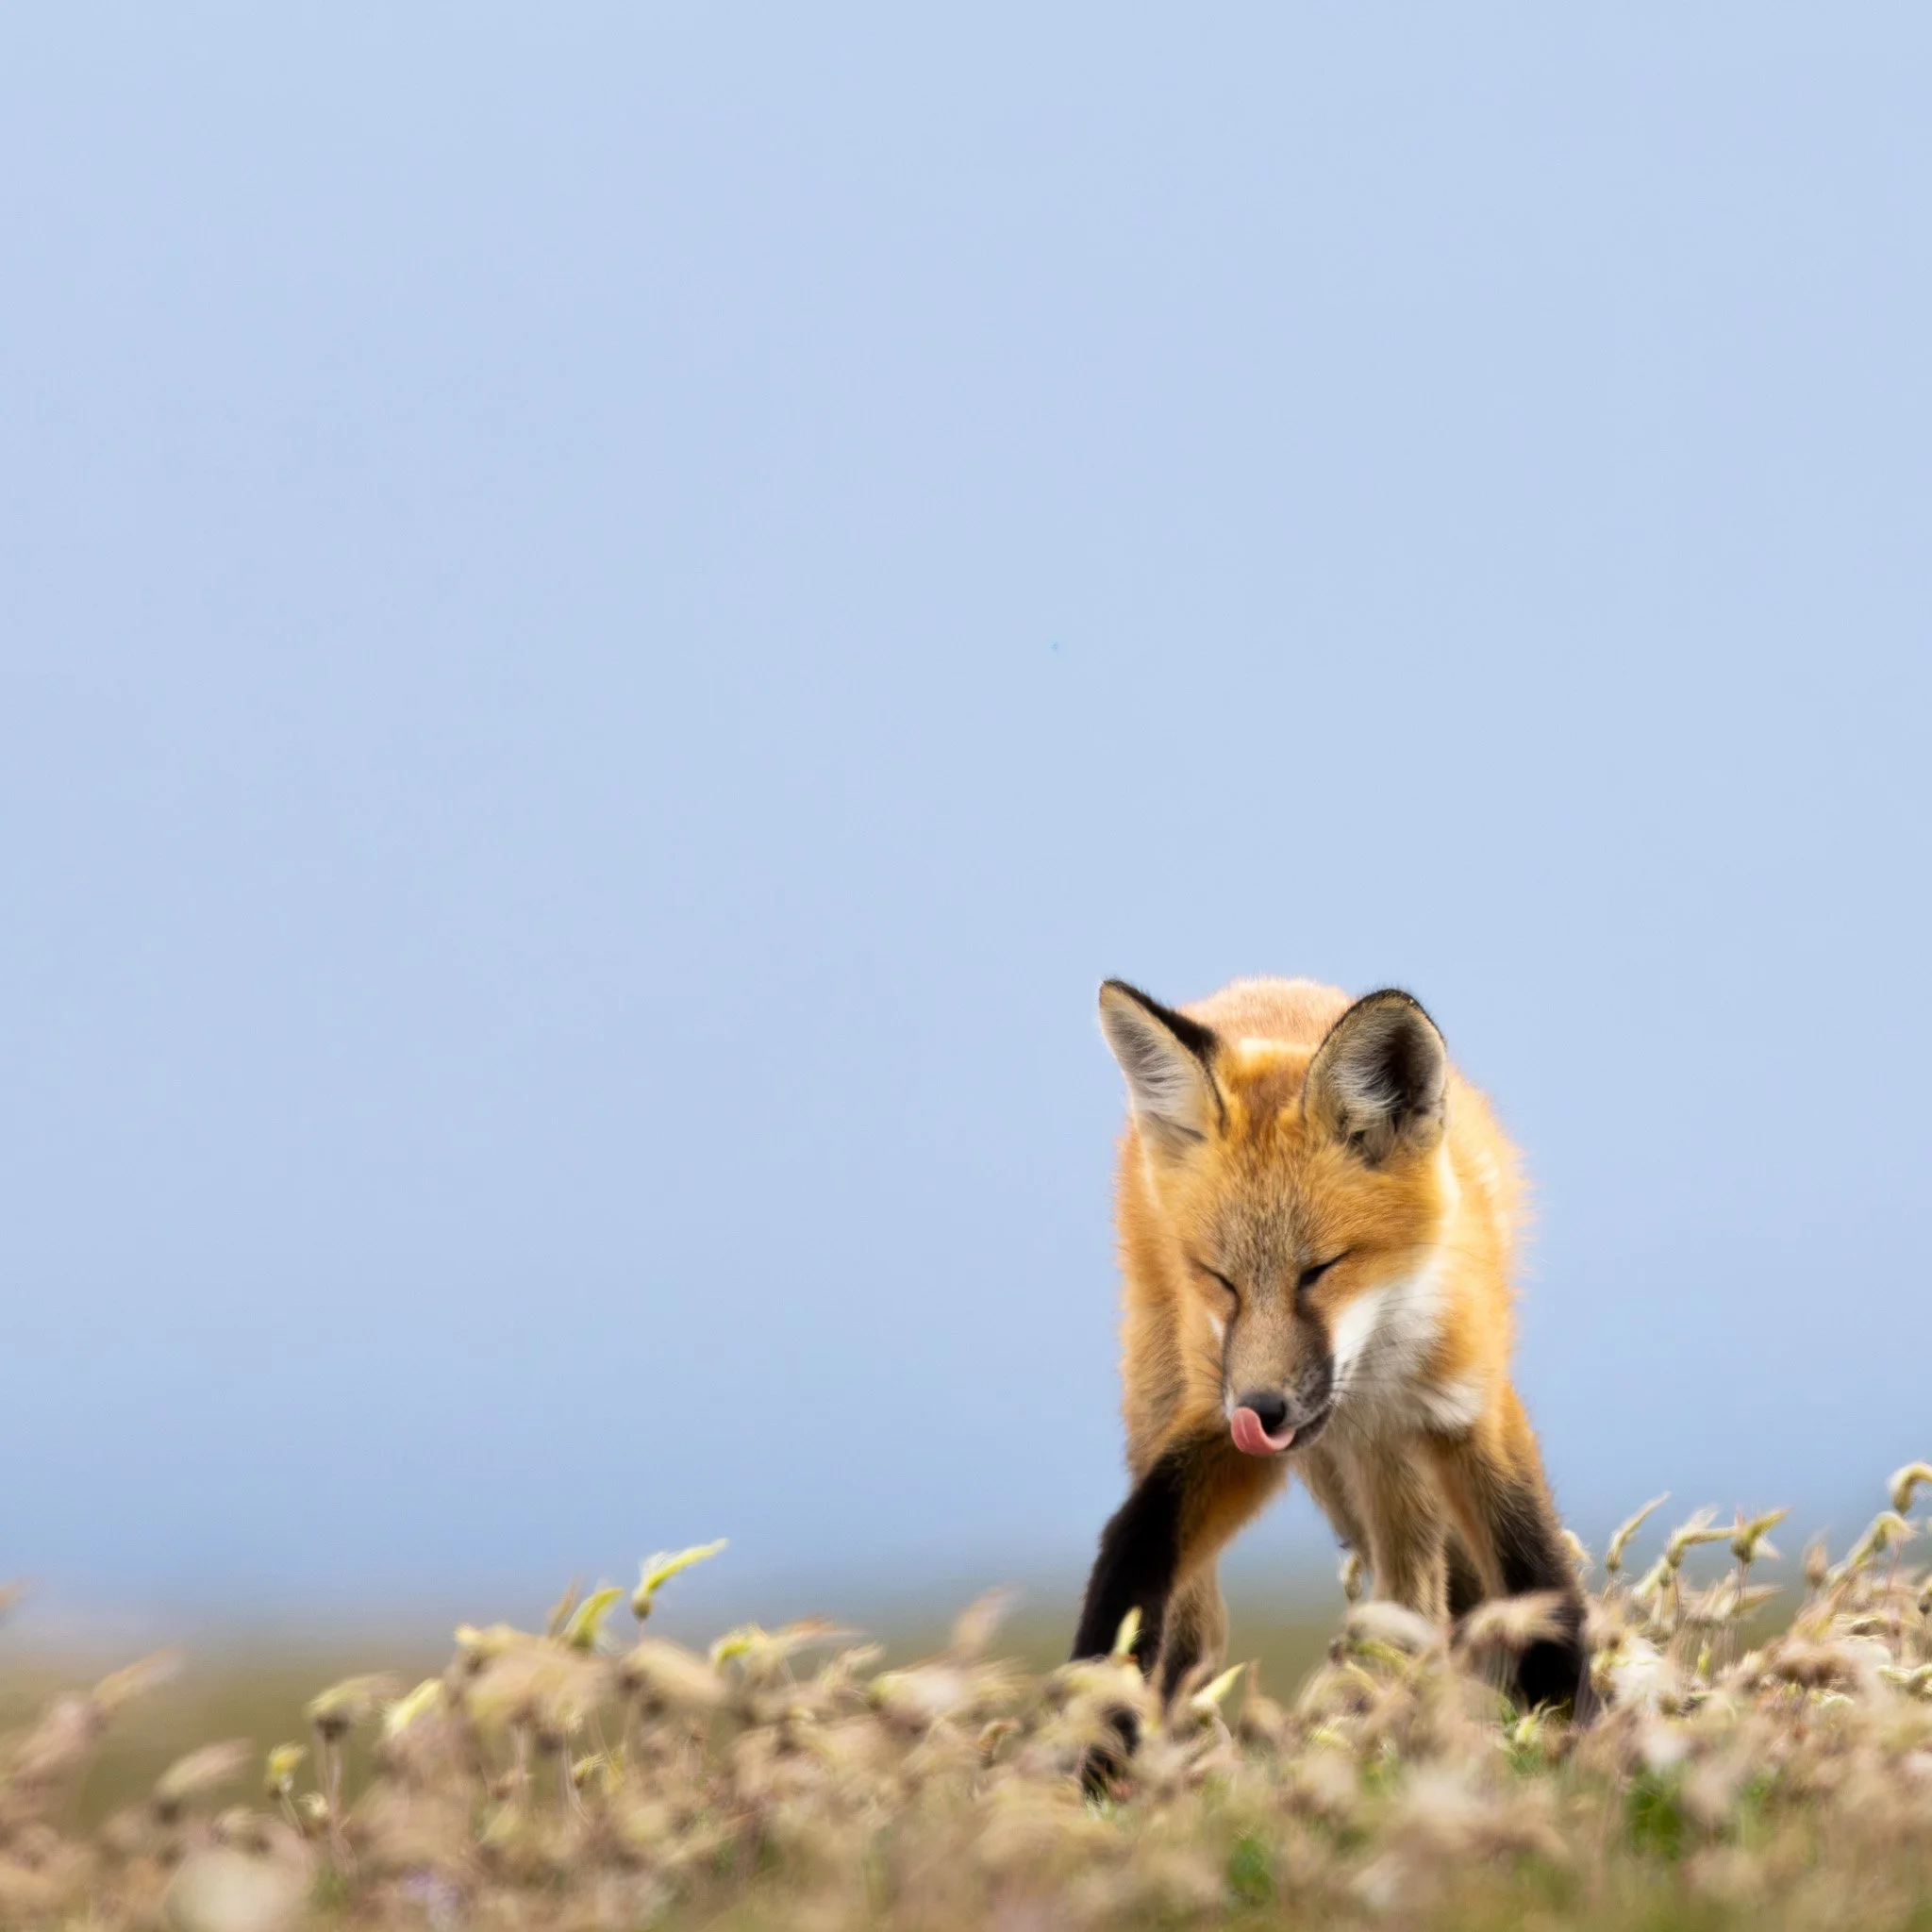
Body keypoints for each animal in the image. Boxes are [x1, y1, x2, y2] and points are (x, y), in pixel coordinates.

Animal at [1070, 975, 1588, 1722]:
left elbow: (1538, 1576)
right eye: (1218, 1279)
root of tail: (1260, 983)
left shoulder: (1470, 1410)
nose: (1263, 1410)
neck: (1370, 1378)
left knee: (1416, 1589)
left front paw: (1578, 1726)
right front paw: (1100, 1726)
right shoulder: (1218, 1424)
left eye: (1319, 1270)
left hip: (1393, 1473)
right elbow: (1137, 1545)